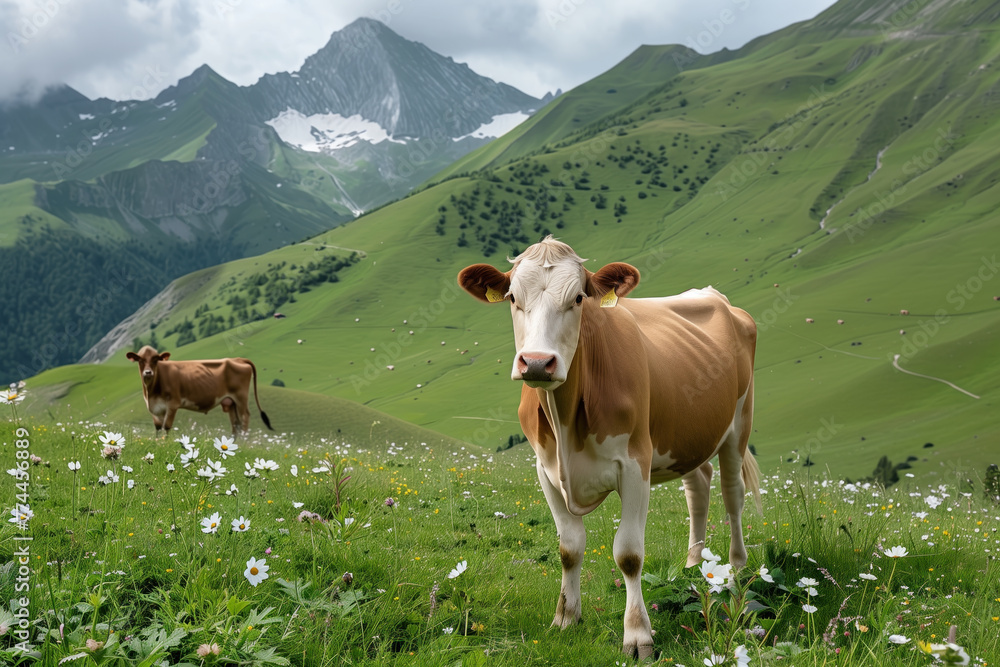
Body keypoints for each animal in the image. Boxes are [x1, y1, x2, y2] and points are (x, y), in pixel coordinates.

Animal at [126, 346, 273, 436]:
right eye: (140, 359)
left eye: (156, 359)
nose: (148, 372)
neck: (151, 392)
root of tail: (238, 359)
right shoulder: (155, 408)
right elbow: (157, 427)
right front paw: (158, 444)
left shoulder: (173, 404)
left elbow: (166, 426)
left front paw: (164, 444)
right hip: (231, 402)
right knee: (236, 423)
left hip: (241, 397)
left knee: (244, 418)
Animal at [458, 237, 760, 659]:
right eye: (513, 297)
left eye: (579, 298)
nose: (536, 362)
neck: (566, 420)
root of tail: (713, 295)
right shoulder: (545, 469)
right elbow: (569, 547)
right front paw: (566, 617)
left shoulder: (635, 464)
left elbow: (629, 555)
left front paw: (638, 635)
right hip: (686, 434)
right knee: (698, 486)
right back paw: (694, 566)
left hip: (738, 424)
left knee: (733, 499)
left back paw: (734, 576)